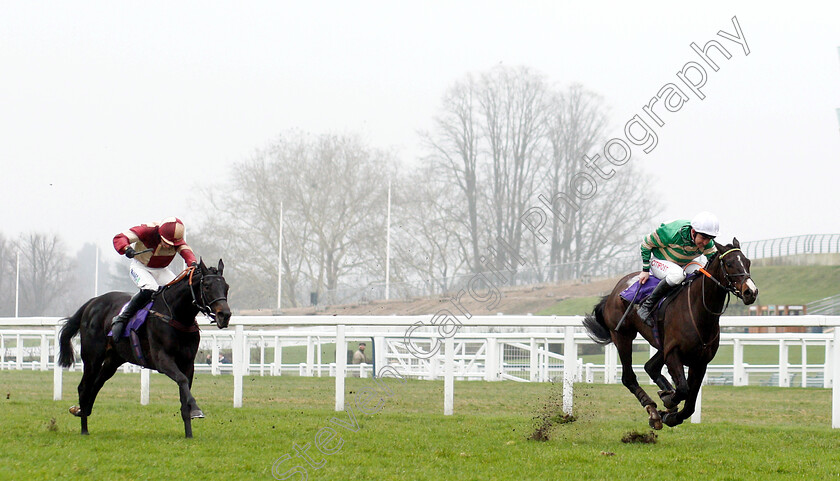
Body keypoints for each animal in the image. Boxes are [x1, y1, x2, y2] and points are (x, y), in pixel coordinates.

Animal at [57, 260, 231, 436]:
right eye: (207, 286)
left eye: (226, 287)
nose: (225, 315)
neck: (176, 316)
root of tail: (92, 302)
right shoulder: (162, 360)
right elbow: (181, 380)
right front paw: (196, 409)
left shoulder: (188, 363)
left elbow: (184, 393)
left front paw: (189, 434)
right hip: (92, 357)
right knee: (84, 388)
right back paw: (84, 428)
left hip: (114, 359)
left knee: (96, 384)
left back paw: (81, 411)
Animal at [584, 237, 760, 428]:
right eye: (729, 263)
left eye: (748, 262)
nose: (751, 292)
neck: (699, 311)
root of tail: (616, 290)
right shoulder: (673, 353)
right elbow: (683, 389)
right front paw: (668, 401)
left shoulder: (700, 362)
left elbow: (690, 404)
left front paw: (670, 413)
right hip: (623, 336)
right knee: (629, 377)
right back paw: (652, 409)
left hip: (661, 345)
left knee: (650, 367)